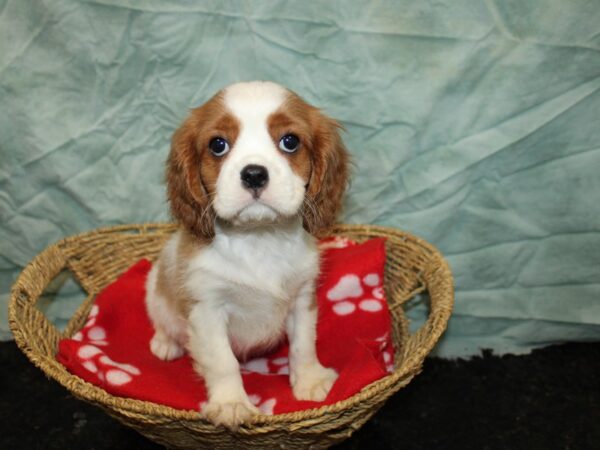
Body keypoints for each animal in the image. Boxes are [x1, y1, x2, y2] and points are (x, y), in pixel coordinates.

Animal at [145, 81, 350, 428]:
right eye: (218, 145)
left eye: (290, 141)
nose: (254, 174)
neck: (258, 237)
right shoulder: (207, 309)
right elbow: (222, 361)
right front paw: (231, 403)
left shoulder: (303, 298)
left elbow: (303, 345)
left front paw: (309, 380)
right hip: (153, 287)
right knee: (162, 321)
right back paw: (165, 343)